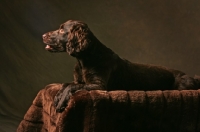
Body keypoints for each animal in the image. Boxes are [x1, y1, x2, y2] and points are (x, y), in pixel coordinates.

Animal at [42, 19, 200, 112]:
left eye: (62, 30)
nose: (43, 35)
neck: (85, 59)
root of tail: (192, 77)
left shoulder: (99, 85)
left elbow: (71, 86)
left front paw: (61, 101)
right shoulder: (79, 80)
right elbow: (66, 84)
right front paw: (58, 96)